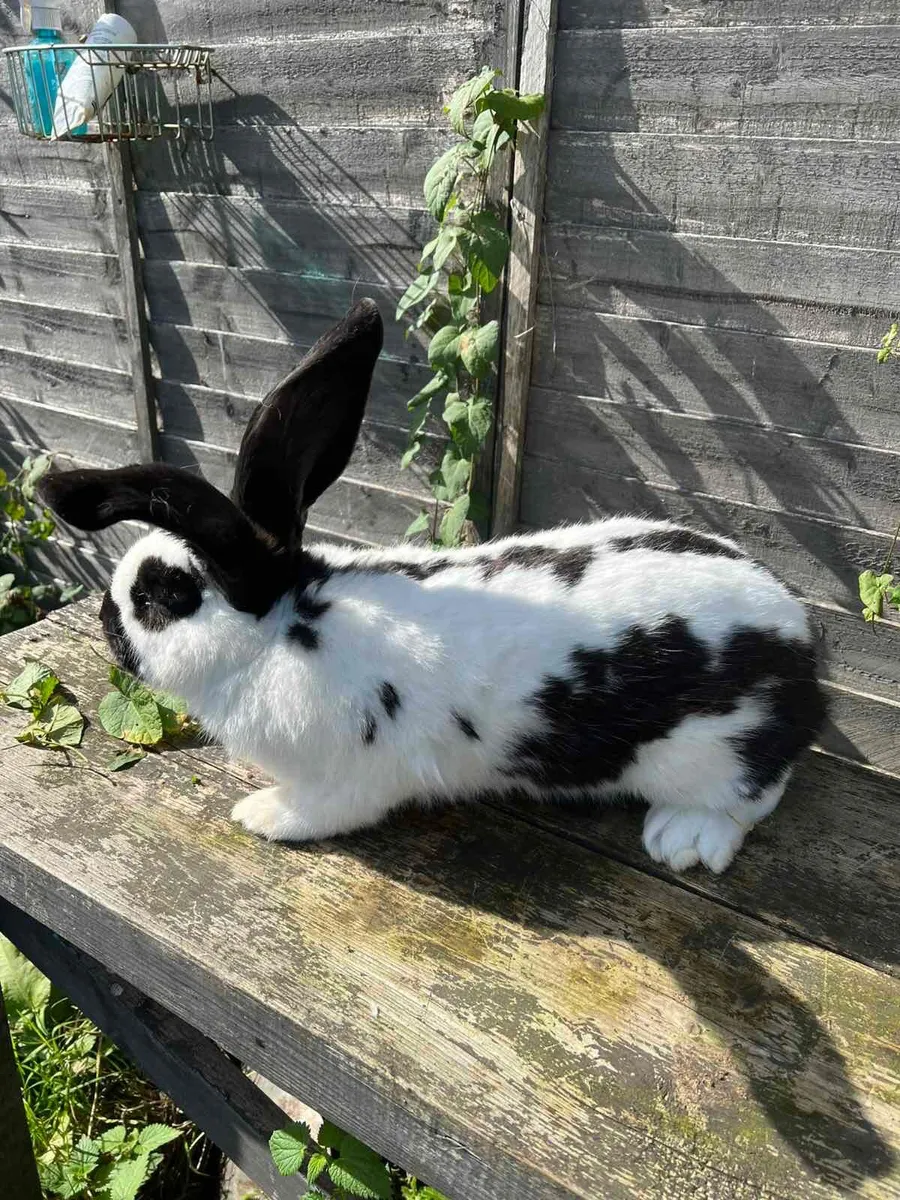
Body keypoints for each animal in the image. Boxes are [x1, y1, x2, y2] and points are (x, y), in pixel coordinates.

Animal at [39, 298, 825, 874]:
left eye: (163, 595)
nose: (105, 619)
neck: (283, 629)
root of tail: (801, 639)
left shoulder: (347, 776)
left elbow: (318, 810)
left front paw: (260, 815)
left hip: (717, 751)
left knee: (754, 795)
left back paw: (683, 840)